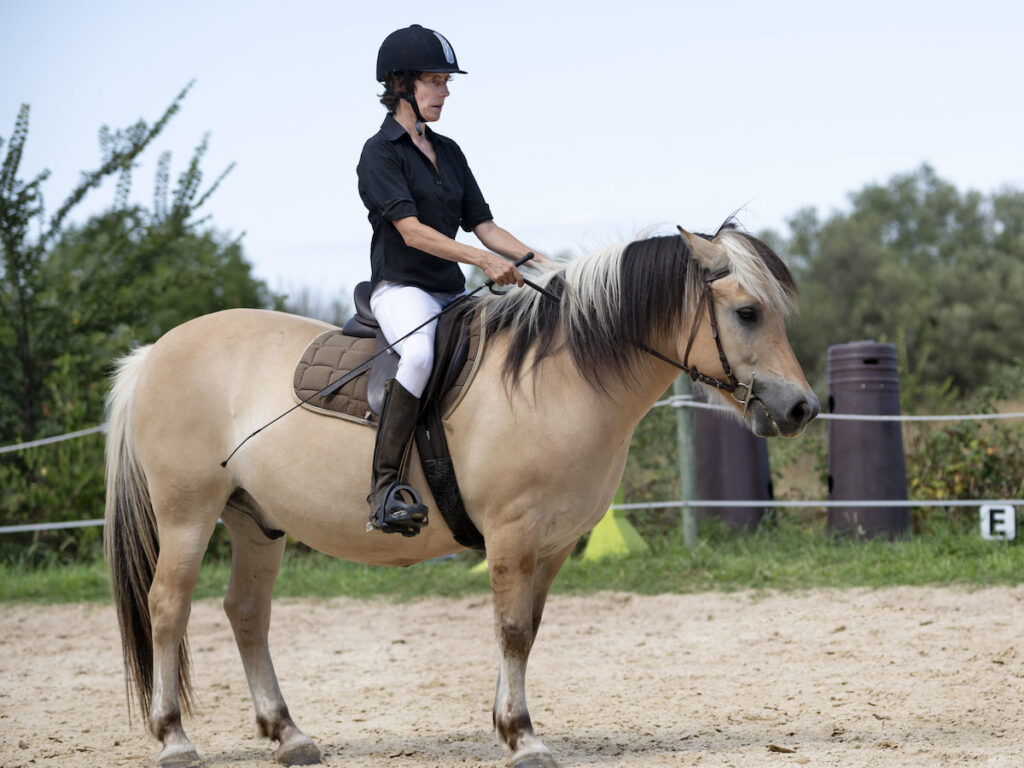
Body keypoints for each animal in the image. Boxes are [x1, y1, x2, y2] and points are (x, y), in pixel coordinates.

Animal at [103, 225, 819, 765]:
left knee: (247, 614)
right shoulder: (512, 533)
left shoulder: (552, 544)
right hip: (188, 515)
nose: (802, 408)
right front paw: (524, 738)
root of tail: (154, 353)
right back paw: (174, 739)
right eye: (747, 313)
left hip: (257, 524)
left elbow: (525, 630)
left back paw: (289, 735)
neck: (560, 377)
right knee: (168, 608)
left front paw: (507, 725)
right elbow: (510, 629)